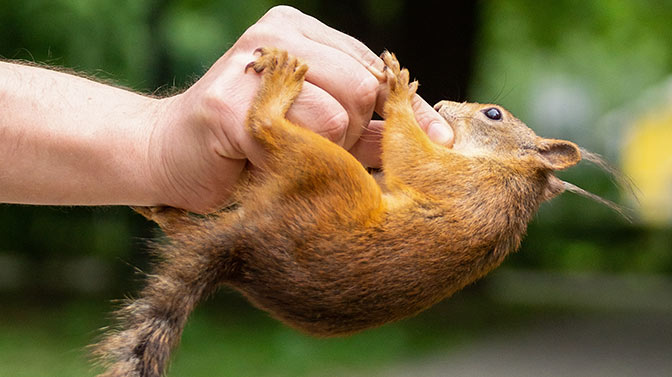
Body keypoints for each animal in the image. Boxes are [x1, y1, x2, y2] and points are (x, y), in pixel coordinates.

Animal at [90, 47, 624, 376]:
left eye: (493, 114)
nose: (444, 103)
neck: (509, 172)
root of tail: (245, 246)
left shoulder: (463, 181)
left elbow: (413, 158)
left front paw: (401, 92)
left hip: (331, 177)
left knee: (265, 132)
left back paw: (276, 93)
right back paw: (164, 207)